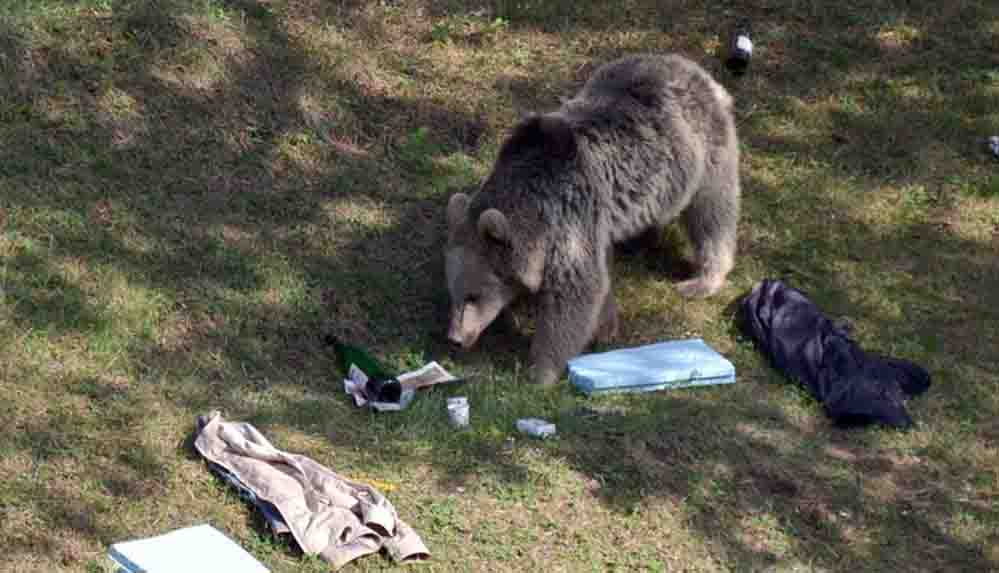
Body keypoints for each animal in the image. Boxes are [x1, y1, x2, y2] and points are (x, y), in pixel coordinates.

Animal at [446, 53, 744, 384]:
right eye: (452, 292)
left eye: (473, 295)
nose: (455, 338)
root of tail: (700, 72)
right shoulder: (591, 226)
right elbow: (600, 283)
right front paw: (606, 327)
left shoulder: (571, 219)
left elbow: (576, 294)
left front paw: (540, 370)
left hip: (706, 157)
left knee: (713, 214)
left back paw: (702, 280)